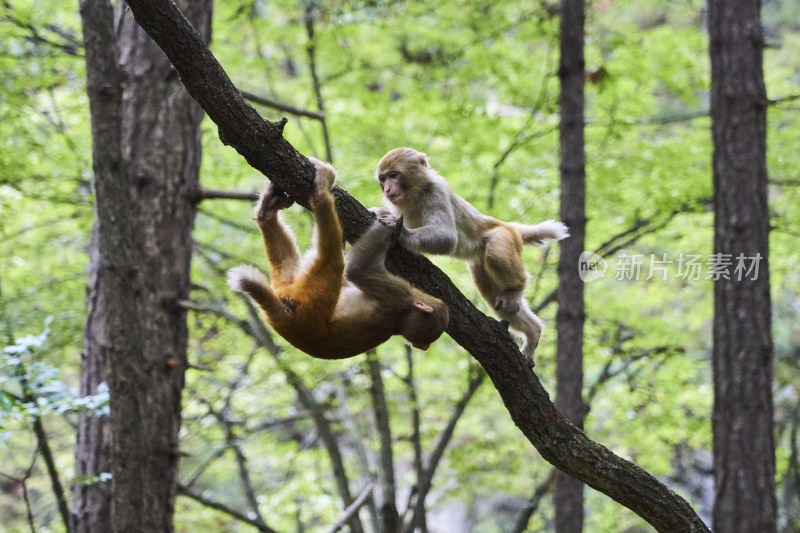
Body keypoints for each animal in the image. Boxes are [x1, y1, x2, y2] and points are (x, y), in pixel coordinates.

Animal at [227, 158, 450, 358]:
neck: (400, 321)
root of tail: (284, 318)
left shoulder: (399, 295)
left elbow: (357, 269)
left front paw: (390, 224)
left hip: (307, 301)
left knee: (332, 260)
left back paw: (320, 192)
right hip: (288, 290)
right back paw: (267, 210)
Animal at [372, 148, 564, 368]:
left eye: (394, 175)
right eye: (383, 178)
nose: (387, 189)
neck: (416, 192)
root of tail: (509, 225)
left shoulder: (436, 192)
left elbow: (447, 237)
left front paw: (400, 230)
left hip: (505, 236)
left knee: (496, 255)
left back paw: (516, 289)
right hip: (480, 263)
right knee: (493, 297)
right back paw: (533, 333)